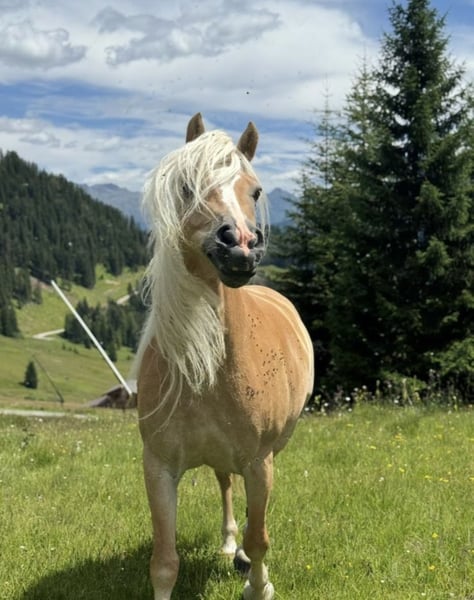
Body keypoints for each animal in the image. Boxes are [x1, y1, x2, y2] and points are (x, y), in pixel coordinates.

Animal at [134, 113, 314, 600]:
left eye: (255, 191)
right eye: (186, 187)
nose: (241, 245)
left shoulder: (259, 462)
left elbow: (261, 538)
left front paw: (258, 585)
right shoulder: (158, 466)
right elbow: (164, 562)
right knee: (225, 486)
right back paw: (229, 543)